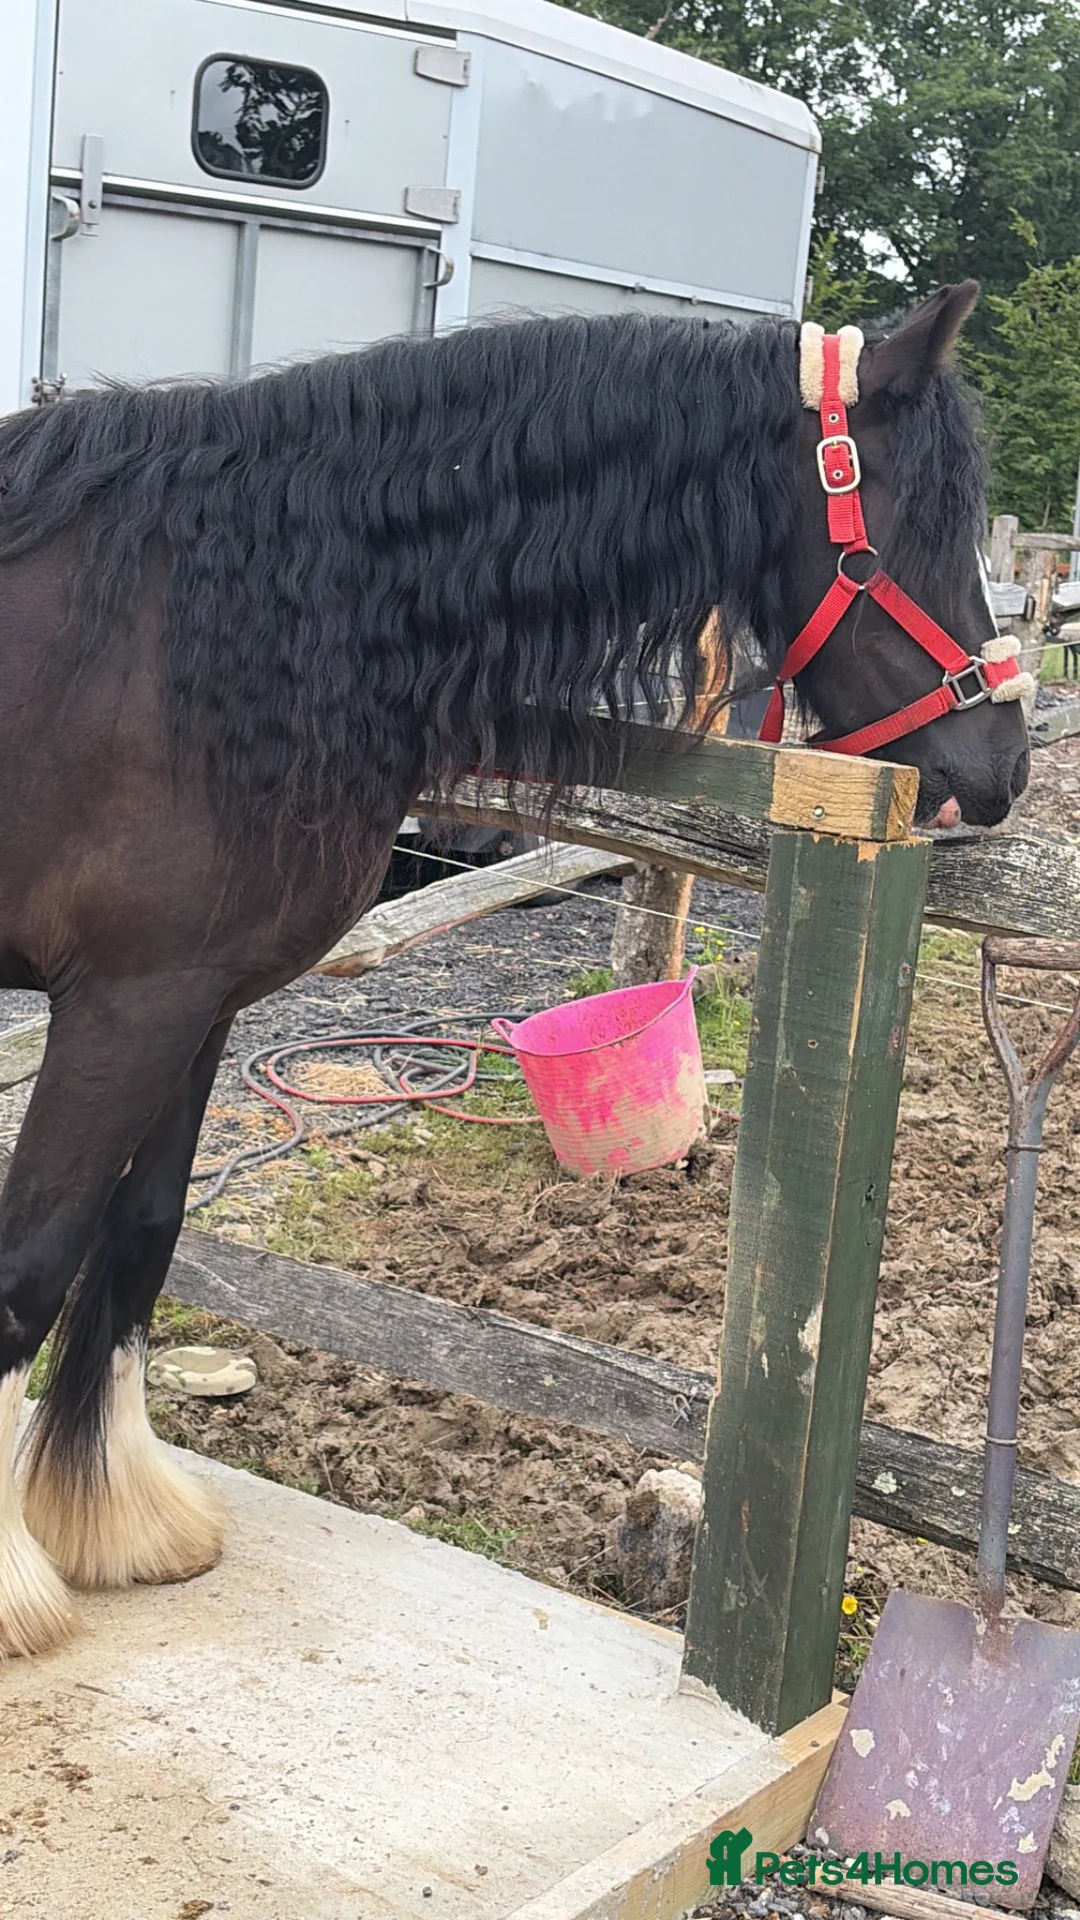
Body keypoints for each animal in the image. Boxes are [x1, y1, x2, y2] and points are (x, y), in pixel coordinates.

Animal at [0, 278, 1028, 1660]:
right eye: (906, 531)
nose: (1001, 768)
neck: (205, 627)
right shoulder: (122, 1009)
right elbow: (33, 1266)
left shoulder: (193, 1005)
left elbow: (139, 1239)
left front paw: (117, 1524)